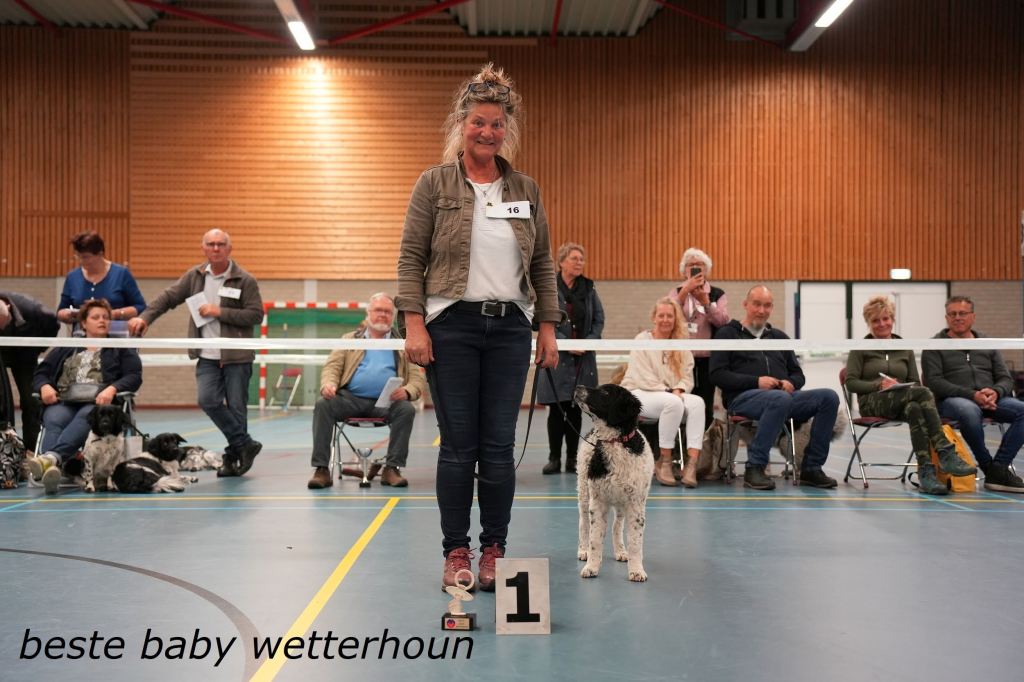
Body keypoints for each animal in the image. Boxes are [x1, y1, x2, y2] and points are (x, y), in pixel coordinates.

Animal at [574, 384, 654, 582]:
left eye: (605, 392)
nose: (578, 386)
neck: (615, 442)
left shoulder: (635, 504)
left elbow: (635, 542)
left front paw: (636, 570)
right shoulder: (598, 501)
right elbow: (595, 539)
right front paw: (592, 567)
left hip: (621, 504)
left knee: (616, 526)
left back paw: (621, 551)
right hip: (584, 493)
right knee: (583, 524)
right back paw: (583, 550)